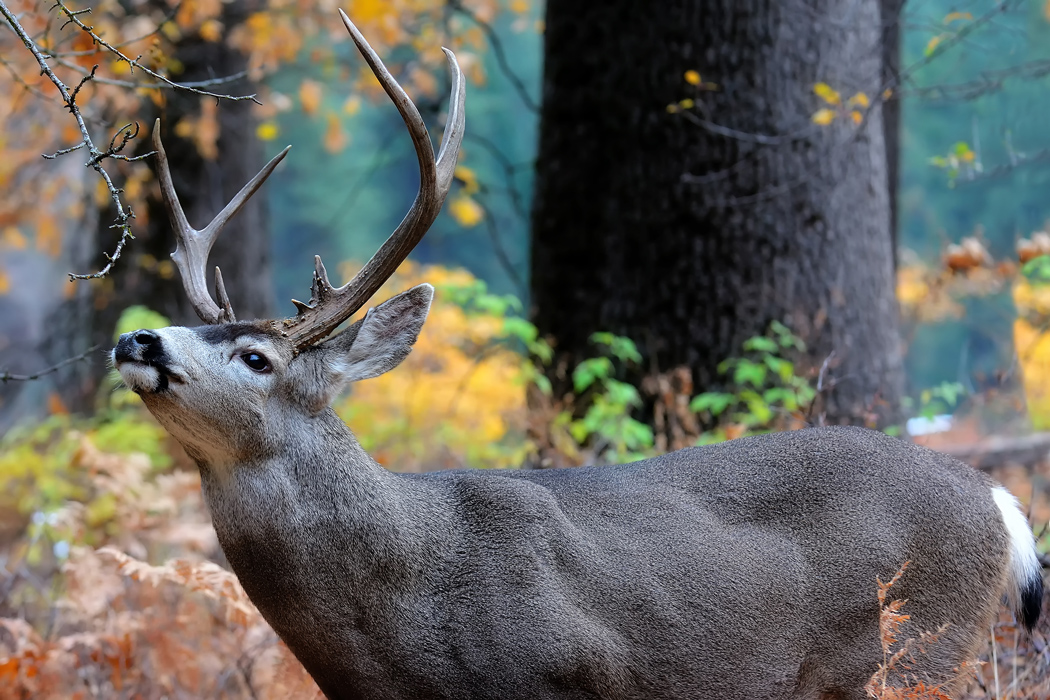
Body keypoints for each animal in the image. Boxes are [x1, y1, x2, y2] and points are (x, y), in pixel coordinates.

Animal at [112, 9, 1041, 700]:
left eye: (258, 358)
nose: (138, 336)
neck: (402, 610)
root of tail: (997, 499)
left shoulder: (575, 673)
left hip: (918, 648)